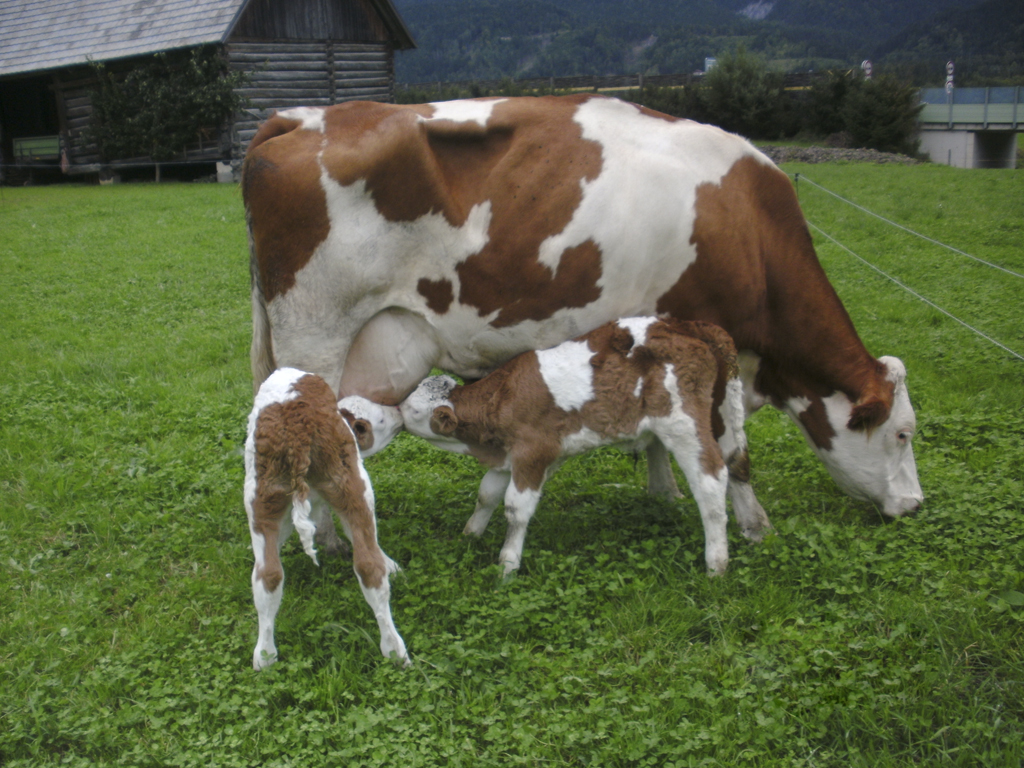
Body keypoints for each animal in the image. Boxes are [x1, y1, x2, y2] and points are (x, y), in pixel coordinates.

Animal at [243, 94, 925, 518]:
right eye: (902, 433)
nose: (914, 505)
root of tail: (303, 116)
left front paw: (662, 494)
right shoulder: (706, 340)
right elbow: (730, 449)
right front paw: (744, 519)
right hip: (315, 340)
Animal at [244, 370, 407, 671]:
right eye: (379, 418)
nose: (398, 411)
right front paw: (392, 565)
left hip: (262, 497)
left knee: (268, 574)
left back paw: (265, 656)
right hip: (354, 483)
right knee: (370, 567)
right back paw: (396, 650)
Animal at [397, 319, 770, 577]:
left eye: (413, 410)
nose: (395, 407)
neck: (501, 396)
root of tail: (686, 324)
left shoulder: (533, 452)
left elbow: (516, 509)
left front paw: (507, 566)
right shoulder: (508, 455)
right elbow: (486, 494)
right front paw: (470, 535)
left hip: (682, 422)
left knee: (710, 481)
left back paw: (716, 564)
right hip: (722, 411)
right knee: (735, 461)